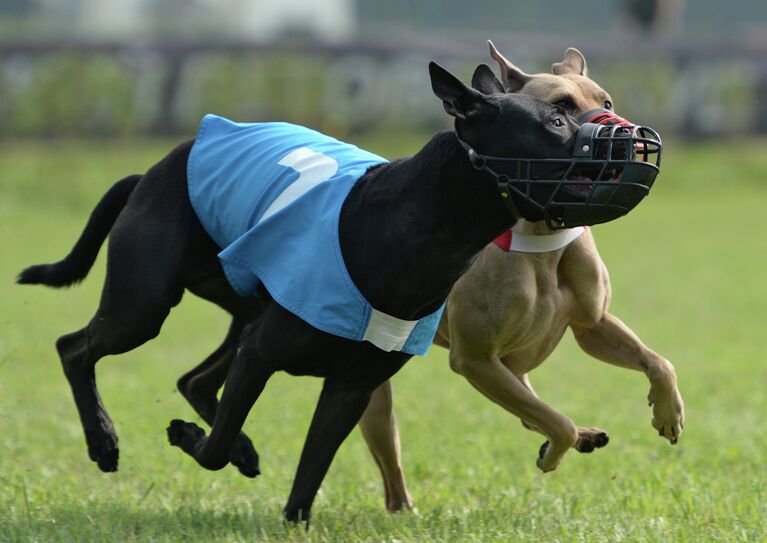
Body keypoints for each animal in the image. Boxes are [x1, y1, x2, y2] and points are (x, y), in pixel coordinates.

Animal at [21, 62, 592, 524]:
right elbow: (213, 449)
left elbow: (310, 471)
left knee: (194, 380)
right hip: (144, 306)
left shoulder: (349, 387)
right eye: (556, 121)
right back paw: (104, 441)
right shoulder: (261, 356)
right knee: (74, 348)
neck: (416, 226)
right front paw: (191, 439)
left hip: (241, 312)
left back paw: (238, 448)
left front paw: (285, 508)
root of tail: (150, 172)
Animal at [356, 41, 688, 510]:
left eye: (606, 102)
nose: (626, 137)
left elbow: (658, 361)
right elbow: (555, 421)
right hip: (380, 396)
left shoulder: (591, 325)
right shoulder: (475, 359)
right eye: (561, 107)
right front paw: (554, 453)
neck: (544, 238)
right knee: (392, 464)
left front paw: (668, 411)